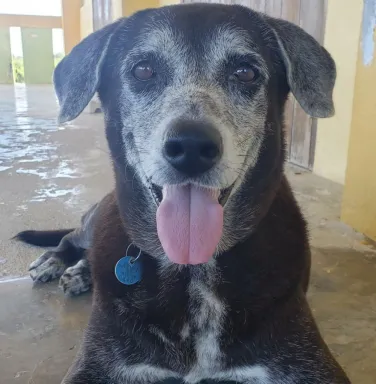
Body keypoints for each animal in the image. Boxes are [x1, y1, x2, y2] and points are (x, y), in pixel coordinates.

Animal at [16, 3, 352, 384]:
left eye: (246, 73)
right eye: (143, 70)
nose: (191, 147)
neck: (193, 271)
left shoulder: (308, 364)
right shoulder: (97, 365)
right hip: (98, 218)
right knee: (72, 237)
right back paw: (56, 262)